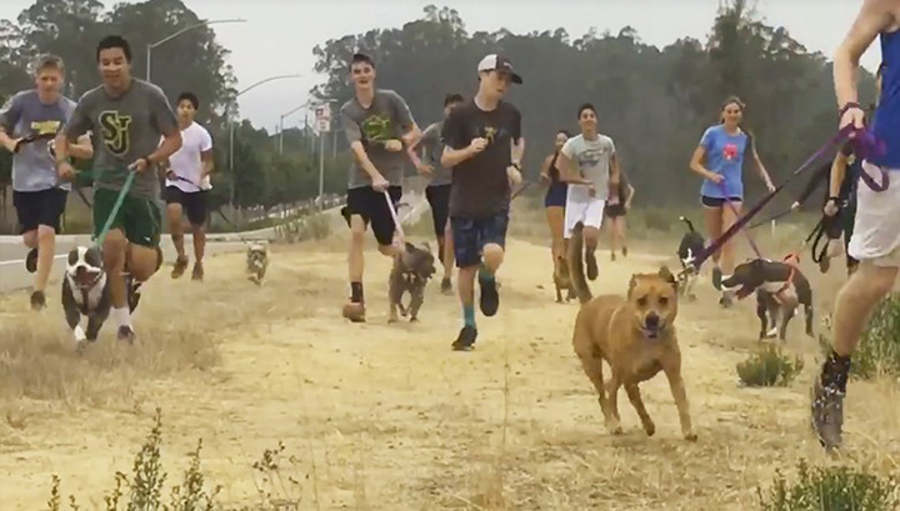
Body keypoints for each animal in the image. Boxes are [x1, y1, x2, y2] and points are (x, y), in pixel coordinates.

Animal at [568, 226, 696, 442]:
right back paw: (613, 423)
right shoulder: (628, 378)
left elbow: (682, 403)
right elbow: (636, 404)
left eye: (663, 300)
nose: (652, 319)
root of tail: (589, 303)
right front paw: (644, 425)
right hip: (592, 364)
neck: (648, 341)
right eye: (641, 300)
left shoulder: (673, 373)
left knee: (609, 391)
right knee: (604, 394)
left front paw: (688, 430)